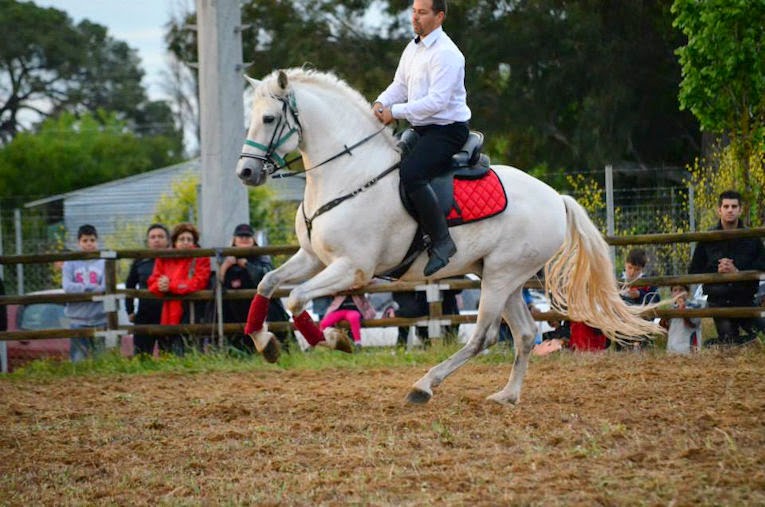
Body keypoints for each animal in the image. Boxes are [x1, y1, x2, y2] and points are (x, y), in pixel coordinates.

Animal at [236, 69, 660, 406]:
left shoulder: (353, 269)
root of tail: (556, 198)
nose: (245, 173)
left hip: (500, 277)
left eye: (269, 118)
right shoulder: (312, 258)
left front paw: (333, 340)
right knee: (524, 335)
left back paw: (424, 386)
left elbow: (295, 298)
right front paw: (264, 342)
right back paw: (507, 395)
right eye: (249, 120)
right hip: (504, 278)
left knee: (483, 338)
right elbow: (267, 283)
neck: (350, 176)